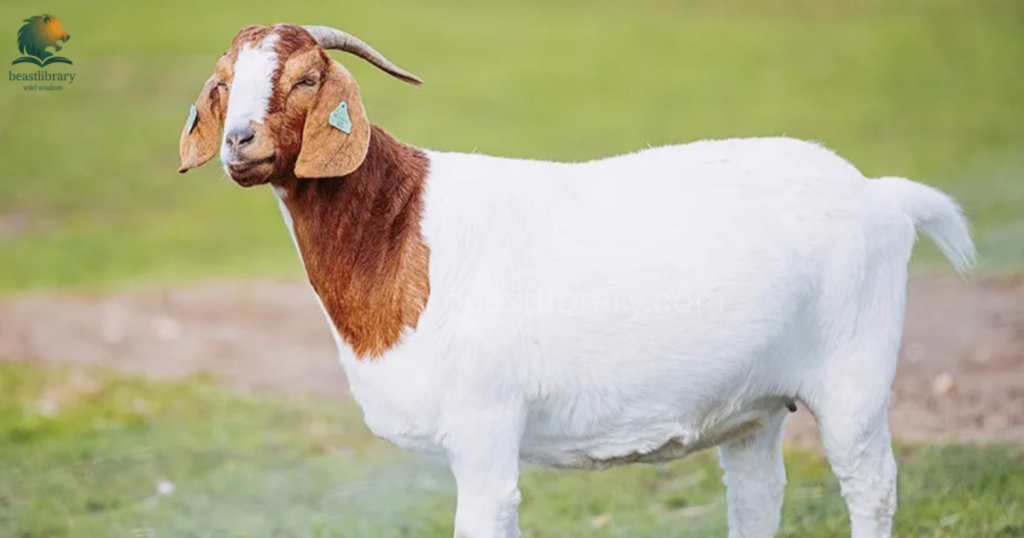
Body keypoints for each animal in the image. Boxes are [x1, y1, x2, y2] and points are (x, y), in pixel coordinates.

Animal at [178, 24, 976, 538]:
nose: (240, 142)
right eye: (223, 87)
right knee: (757, 497)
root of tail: (882, 194)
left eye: (307, 79)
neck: (403, 228)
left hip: (854, 378)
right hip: (754, 405)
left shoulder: (485, 430)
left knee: (871, 487)